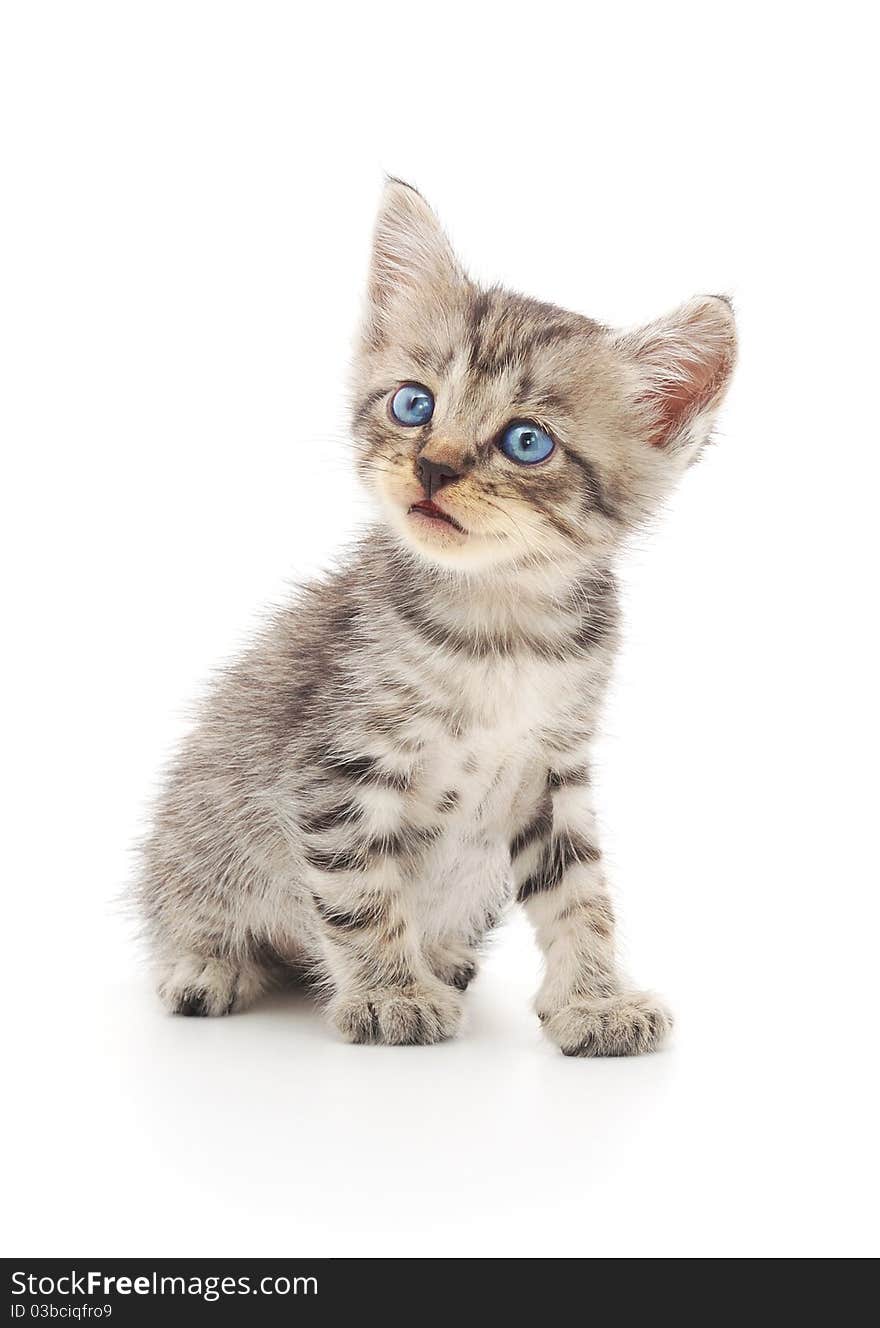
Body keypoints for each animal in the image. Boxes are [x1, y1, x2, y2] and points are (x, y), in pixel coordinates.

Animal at [139, 176, 737, 1051]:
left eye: (527, 442)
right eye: (414, 404)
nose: (433, 464)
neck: (503, 629)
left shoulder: (552, 772)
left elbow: (580, 894)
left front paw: (594, 999)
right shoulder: (336, 769)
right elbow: (360, 891)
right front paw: (390, 993)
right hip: (195, 837)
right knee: (192, 908)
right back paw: (206, 964)